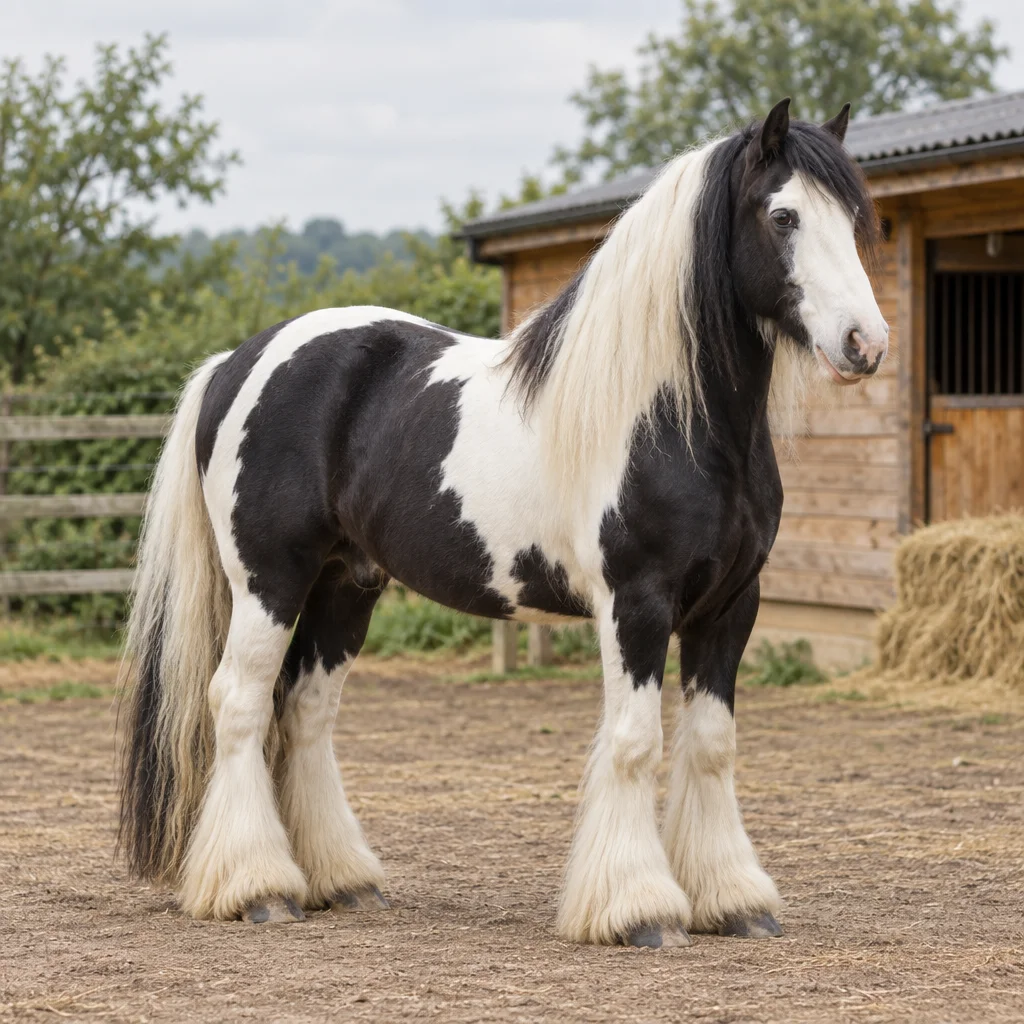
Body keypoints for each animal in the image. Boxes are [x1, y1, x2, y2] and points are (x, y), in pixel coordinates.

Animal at [119, 98, 888, 947]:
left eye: (856, 219)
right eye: (783, 216)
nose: (865, 343)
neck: (674, 418)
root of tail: (236, 362)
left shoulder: (731, 605)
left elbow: (712, 745)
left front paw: (734, 899)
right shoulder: (636, 603)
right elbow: (635, 742)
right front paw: (639, 909)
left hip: (345, 585)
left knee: (307, 712)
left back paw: (342, 879)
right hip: (269, 581)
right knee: (240, 704)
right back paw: (256, 887)